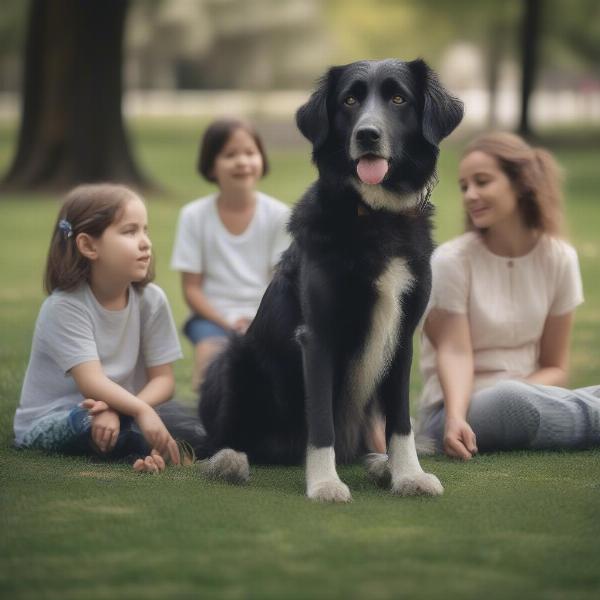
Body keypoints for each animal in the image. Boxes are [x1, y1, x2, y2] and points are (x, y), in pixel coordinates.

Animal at [199, 59, 462, 502]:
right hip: (230, 359)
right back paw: (228, 461)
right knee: (220, 439)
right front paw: (323, 482)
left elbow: (401, 421)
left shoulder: (403, 337)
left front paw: (407, 474)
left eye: (398, 98)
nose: (367, 135)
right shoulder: (318, 336)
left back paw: (379, 465)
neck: (376, 216)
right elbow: (321, 420)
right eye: (350, 101)